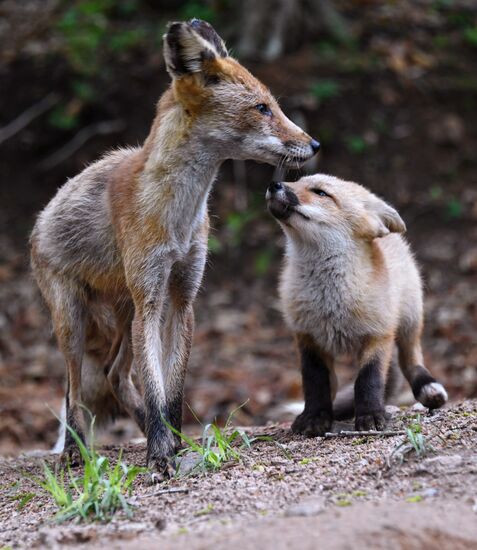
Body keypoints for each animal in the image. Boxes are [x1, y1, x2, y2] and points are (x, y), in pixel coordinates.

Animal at [30, 17, 320, 474]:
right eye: (262, 108)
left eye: (273, 104)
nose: (314, 145)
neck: (179, 219)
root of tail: (42, 215)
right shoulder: (150, 298)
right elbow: (154, 383)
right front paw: (160, 455)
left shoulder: (184, 296)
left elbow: (172, 389)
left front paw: (172, 442)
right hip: (74, 320)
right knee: (74, 387)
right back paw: (76, 450)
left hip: (123, 310)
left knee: (113, 375)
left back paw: (142, 427)